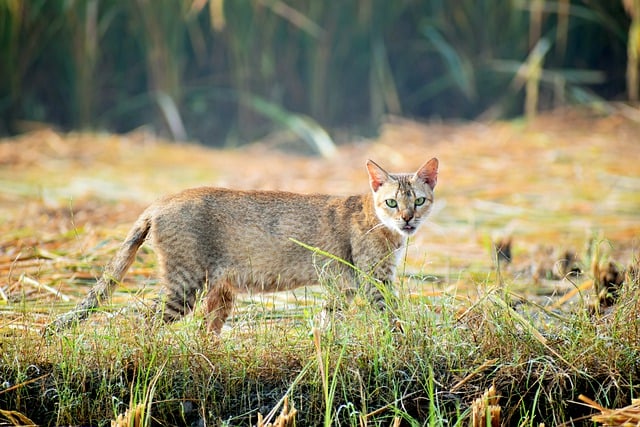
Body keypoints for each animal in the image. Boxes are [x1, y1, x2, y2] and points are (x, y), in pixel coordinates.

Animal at [45, 157, 438, 334]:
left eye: (419, 201)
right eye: (392, 202)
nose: (407, 219)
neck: (388, 231)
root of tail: (160, 201)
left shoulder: (346, 286)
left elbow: (328, 319)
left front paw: (323, 344)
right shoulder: (375, 281)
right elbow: (392, 317)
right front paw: (405, 341)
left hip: (219, 292)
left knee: (203, 330)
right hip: (185, 283)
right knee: (143, 321)